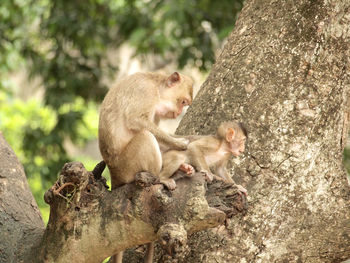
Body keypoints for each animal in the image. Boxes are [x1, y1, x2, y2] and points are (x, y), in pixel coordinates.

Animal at [97, 72, 193, 263]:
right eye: (183, 102)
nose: (179, 112)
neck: (157, 86)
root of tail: (113, 173)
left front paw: (183, 163)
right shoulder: (145, 92)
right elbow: (136, 120)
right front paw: (179, 143)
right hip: (128, 165)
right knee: (145, 136)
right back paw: (160, 179)